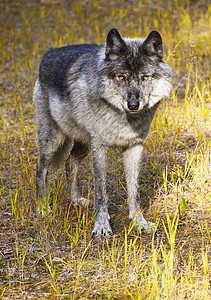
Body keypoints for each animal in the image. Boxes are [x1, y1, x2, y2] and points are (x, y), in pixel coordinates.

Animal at [33, 29, 171, 238]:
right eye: (121, 77)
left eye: (145, 77)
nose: (133, 105)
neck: (125, 119)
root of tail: (48, 53)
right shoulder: (99, 147)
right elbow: (101, 192)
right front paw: (102, 226)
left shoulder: (135, 147)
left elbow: (135, 192)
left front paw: (139, 223)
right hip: (53, 141)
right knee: (40, 170)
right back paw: (42, 208)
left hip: (82, 145)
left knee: (69, 163)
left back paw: (76, 200)